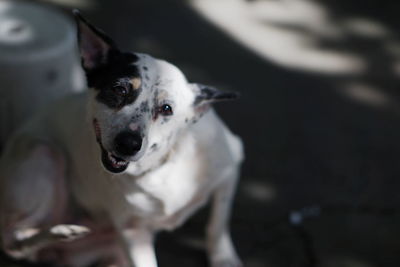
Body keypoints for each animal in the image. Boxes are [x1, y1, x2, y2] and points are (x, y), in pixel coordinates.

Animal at [0, 10, 244, 267]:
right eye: (119, 89)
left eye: (166, 108)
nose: (128, 144)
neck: (162, 165)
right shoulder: (132, 233)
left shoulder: (231, 167)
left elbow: (218, 223)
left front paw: (224, 258)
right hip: (44, 153)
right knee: (14, 236)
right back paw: (61, 232)